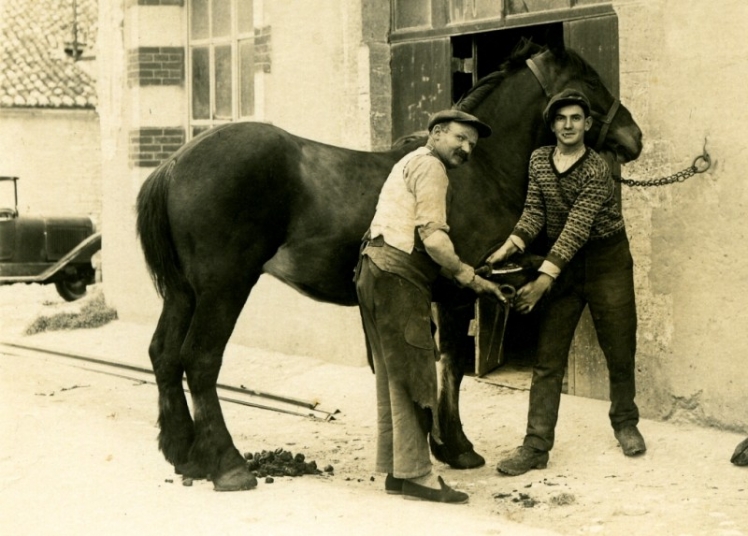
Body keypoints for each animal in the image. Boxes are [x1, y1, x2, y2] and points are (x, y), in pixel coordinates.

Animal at [136, 38, 644, 490]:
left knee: (164, 355)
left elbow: (444, 364)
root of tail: (175, 163)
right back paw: (228, 466)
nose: (634, 137)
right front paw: (457, 447)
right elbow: (453, 364)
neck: (475, 168)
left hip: (184, 293)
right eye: (588, 83)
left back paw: (185, 454)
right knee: (200, 361)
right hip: (224, 289)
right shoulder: (458, 293)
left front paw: (444, 443)